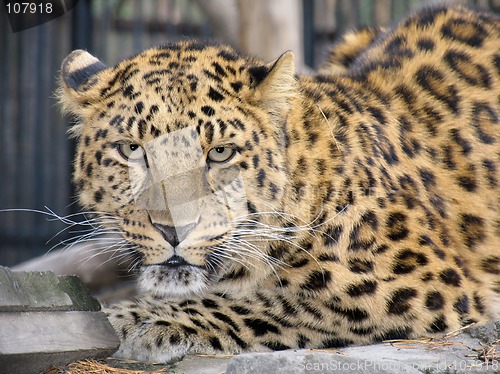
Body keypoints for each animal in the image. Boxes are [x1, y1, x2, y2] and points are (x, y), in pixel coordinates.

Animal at [56, 5, 498, 362]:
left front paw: (131, 318)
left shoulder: (422, 284)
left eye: (220, 153)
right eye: (132, 149)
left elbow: (271, 302)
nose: (173, 231)